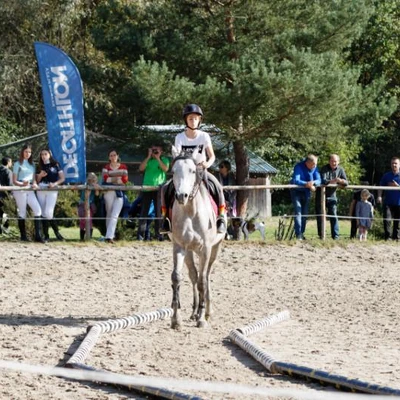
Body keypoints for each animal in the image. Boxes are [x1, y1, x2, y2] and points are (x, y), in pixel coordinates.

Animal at [168, 147, 225, 328]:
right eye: (173, 171)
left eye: (193, 171)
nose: (182, 196)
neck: (190, 211)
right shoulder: (179, 247)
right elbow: (177, 278)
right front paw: (176, 319)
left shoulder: (205, 249)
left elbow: (202, 282)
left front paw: (201, 319)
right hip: (189, 251)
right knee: (193, 275)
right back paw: (194, 311)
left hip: (214, 249)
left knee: (205, 276)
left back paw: (206, 312)